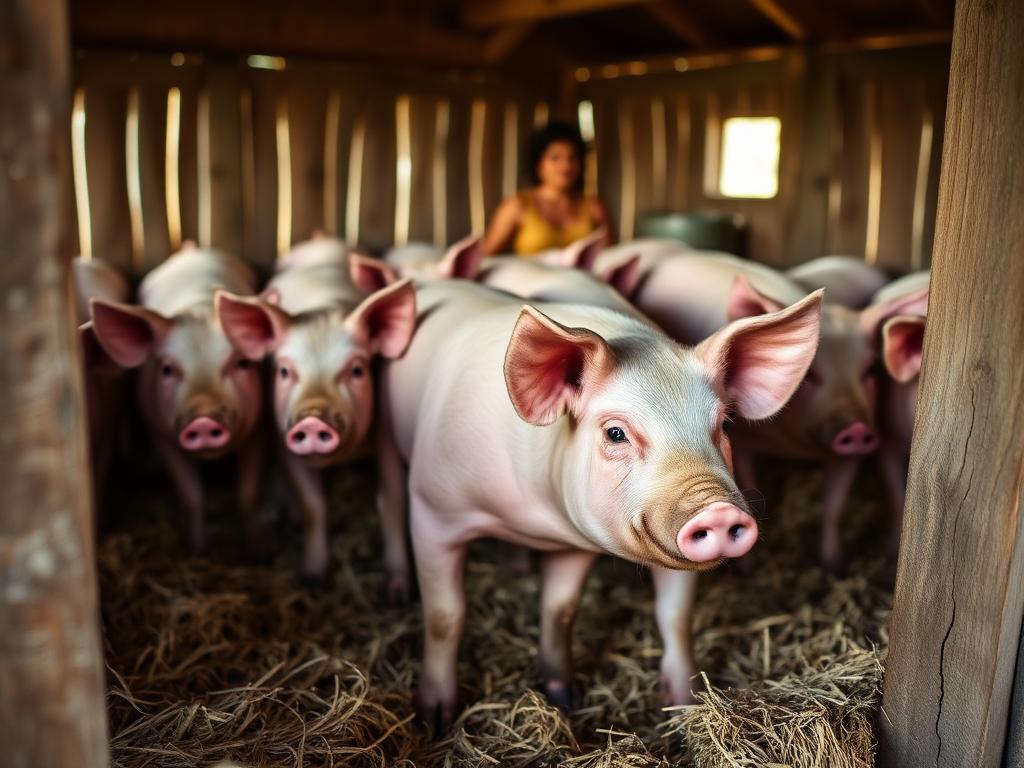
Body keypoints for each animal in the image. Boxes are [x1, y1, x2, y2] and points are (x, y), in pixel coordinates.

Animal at [89, 245, 271, 556]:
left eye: (242, 363)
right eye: (167, 369)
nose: (203, 418)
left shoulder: (257, 428)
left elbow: (248, 493)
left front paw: (259, 550)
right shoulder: (160, 431)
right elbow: (191, 496)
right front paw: (197, 550)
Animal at [217, 240, 415, 584]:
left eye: (357, 370)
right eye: (284, 371)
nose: (312, 418)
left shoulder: (386, 434)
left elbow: (392, 503)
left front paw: (398, 591)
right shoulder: (282, 439)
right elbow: (313, 506)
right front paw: (313, 579)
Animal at [376, 277, 823, 727]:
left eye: (725, 425)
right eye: (615, 433)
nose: (717, 509)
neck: (538, 519)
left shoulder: (575, 545)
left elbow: (582, 609)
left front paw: (574, 698)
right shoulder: (434, 508)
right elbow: (445, 615)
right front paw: (434, 719)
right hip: (389, 443)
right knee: (390, 502)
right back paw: (397, 594)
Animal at [596, 251, 928, 571]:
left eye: (871, 370)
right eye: (808, 374)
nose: (856, 429)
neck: (794, 448)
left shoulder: (857, 448)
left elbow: (834, 508)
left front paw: (834, 566)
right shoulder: (745, 442)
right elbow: (751, 486)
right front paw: (746, 568)